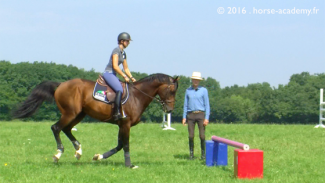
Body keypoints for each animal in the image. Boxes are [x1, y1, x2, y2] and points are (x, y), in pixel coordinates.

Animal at [12, 73, 180, 169]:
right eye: (172, 90)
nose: (169, 110)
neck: (137, 96)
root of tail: (61, 85)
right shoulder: (125, 124)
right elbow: (125, 144)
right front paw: (129, 165)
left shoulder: (121, 125)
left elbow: (119, 145)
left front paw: (98, 157)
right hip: (70, 113)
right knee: (56, 128)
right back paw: (58, 154)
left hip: (79, 114)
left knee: (66, 129)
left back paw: (78, 150)